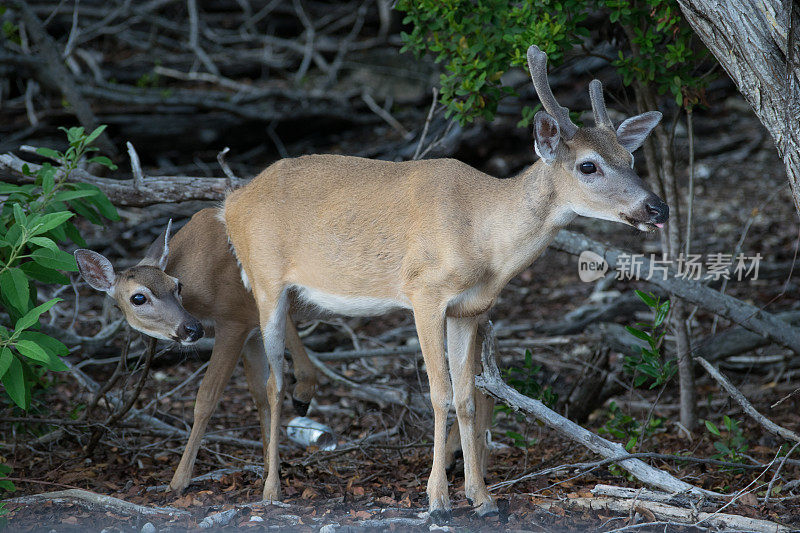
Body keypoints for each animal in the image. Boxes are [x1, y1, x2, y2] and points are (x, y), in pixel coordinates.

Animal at [71, 208, 316, 494]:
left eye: (177, 285)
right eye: (138, 298)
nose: (192, 328)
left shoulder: (234, 320)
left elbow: (207, 398)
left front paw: (178, 481)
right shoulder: (251, 325)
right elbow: (259, 392)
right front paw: (268, 467)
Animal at [222, 44, 672, 520]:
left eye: (631, 160)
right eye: (588, 165)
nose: (657, 208)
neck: (483, 238)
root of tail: (231, 201)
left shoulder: (469, 310)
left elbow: (468, 397)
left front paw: (482, 498)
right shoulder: (424, 292)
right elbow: (439, 394)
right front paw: (437, 499)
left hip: (298, 294)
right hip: (266, 279)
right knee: (272, 383)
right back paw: (271, 488)